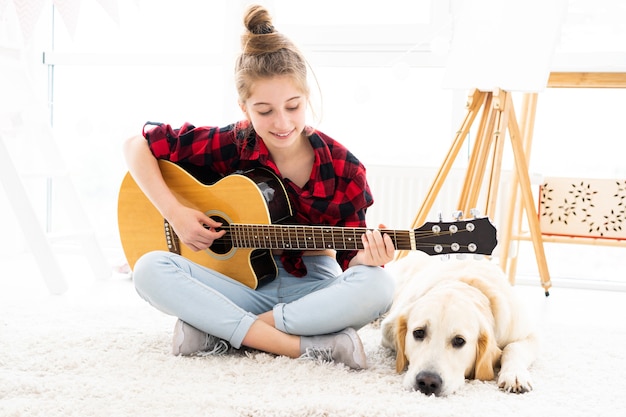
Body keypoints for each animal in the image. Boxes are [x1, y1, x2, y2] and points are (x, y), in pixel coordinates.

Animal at [380, 252, 536, 394]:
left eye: (459, 341)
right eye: (418, 332)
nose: (427, 381)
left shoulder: (529, 334)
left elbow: (513, 348)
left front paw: (515, 375)